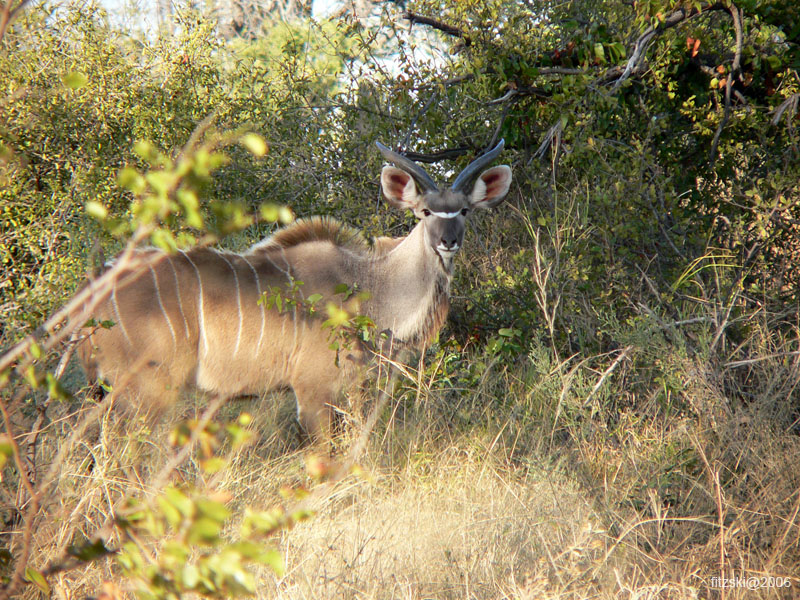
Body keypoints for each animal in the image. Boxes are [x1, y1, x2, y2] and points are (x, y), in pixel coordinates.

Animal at [78, 141, 510, 440]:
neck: (369, 284)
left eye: (464, 210)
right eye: (425, 212)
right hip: (146, 392)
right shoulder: (313, 391)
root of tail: (94, 289)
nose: (449, 242)